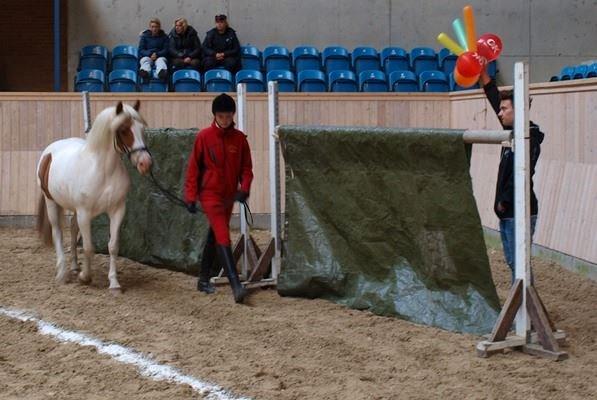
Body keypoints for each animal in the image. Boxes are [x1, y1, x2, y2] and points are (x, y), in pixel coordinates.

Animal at [36, 100, 151, 294]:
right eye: (123, 130)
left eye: (142, 129)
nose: (145, 163)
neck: (103, 170)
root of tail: (48, 152)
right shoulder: (85, 213)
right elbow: (89, 247)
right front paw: (85, 277)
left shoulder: (117, 210)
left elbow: (113, 246)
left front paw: (114, 283)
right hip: (51, 202)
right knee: (57, 232)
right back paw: (63, 273)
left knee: (73, 228)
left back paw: (75, 266)